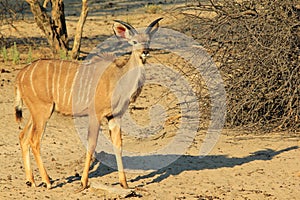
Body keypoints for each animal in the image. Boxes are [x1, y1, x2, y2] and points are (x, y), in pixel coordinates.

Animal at [14, 18, 162, 191]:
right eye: (134, 41)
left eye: (148, 40)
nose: (145, 51)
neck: (118, 78)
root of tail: (20, 75)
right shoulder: (95, 115)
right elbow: (91, 144)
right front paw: (83, 182)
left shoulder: (114, 117)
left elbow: (118, 144)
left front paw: (124, 183)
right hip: (42, 111)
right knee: (34, 140)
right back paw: (47, 182)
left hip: (37, 112)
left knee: (23, 136)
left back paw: (31, 180)